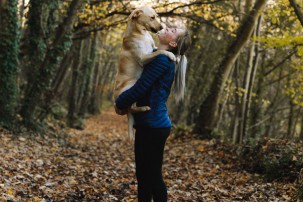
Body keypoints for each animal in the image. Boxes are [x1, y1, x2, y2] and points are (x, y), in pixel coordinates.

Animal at [114, 5, 176, 140]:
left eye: (156, 16)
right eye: (152, 17)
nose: (162, 27)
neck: (141, 33)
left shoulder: (153, 48)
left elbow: (157, 49)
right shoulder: (143, 58)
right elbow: (160, 52)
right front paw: (171, 55)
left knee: (131, 109)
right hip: (133, 83)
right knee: (131, 108)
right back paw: (143, 108)